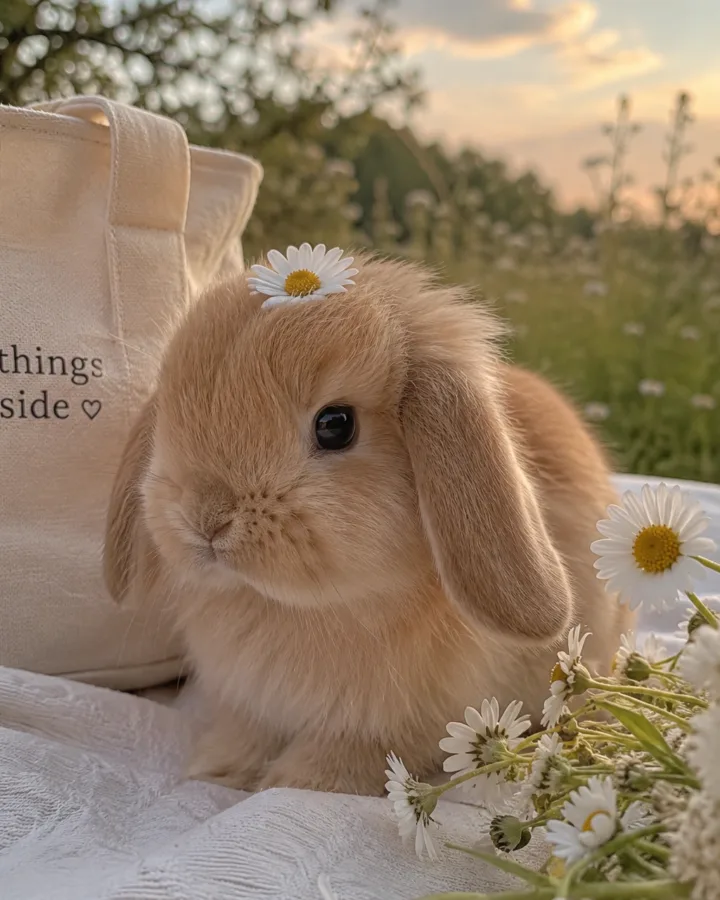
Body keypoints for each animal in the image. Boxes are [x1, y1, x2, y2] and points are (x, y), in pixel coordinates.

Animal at [104, 252, 630, 797]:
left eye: (335, 425)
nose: (205, 518)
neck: (295, 608)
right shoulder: (253, 703)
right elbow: (246, 733)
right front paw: (219, 770)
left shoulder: (394, 723)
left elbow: (353, 751)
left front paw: (298, 783)